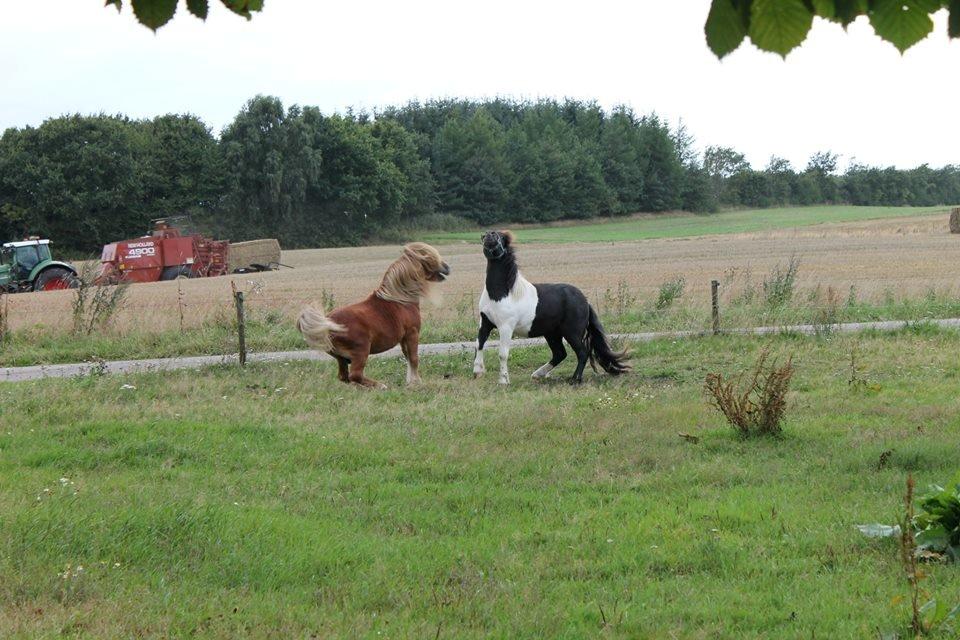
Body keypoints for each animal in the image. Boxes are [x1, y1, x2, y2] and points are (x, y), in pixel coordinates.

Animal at [296, 244, 450, 384]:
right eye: (431, 257)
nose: (448, 267)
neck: (400, 297)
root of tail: (327, 324)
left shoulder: (403, 338)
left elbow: (407, 357)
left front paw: (410, 381)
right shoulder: (412, 333)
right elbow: (414, 358)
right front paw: (416, 382)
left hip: (342, 359)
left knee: (344, 377)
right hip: (361, 351)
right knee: (355, 375)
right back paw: (381, 386)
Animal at [472, 232, 632, 388]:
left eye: (500, 237)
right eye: (486, 234)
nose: (489, 236)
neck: (502, 294)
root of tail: (585, 301)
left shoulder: (506, 327)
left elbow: (503, 354)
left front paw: (503, 381)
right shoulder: (485, 322)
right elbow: (479, 344)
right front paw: (477, 372)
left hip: (571, 332)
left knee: (582, 352)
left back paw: (575, 380)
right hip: (552, 333)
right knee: (560, 354)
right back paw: (538, 374)